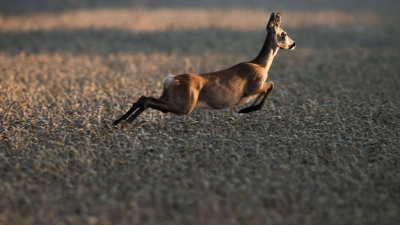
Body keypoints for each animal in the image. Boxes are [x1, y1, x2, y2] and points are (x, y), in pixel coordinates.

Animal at [114, 12, 296, 125]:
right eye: (285, 33)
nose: (293, 44)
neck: (260, 64)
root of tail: (171, 80)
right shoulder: (253, 85)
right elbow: (271, 85)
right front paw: (248, 109)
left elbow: (269, 88)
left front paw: (247, 109)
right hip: (185, 104)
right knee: (148, 100)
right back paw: (125, 122)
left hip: (169, 97)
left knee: (144, 97)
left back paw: (119, 122)